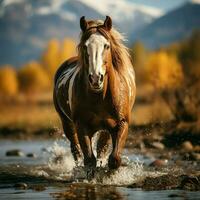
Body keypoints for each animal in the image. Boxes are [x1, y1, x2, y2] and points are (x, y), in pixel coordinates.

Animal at [53, 16, 136, 170]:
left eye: (106, 46)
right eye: (85, 46)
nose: (96, 78)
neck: (100, 98)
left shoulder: (121, 124)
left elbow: (114, 159)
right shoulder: (81, 125)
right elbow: (89, 161)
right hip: (67, 123)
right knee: (76, 150)